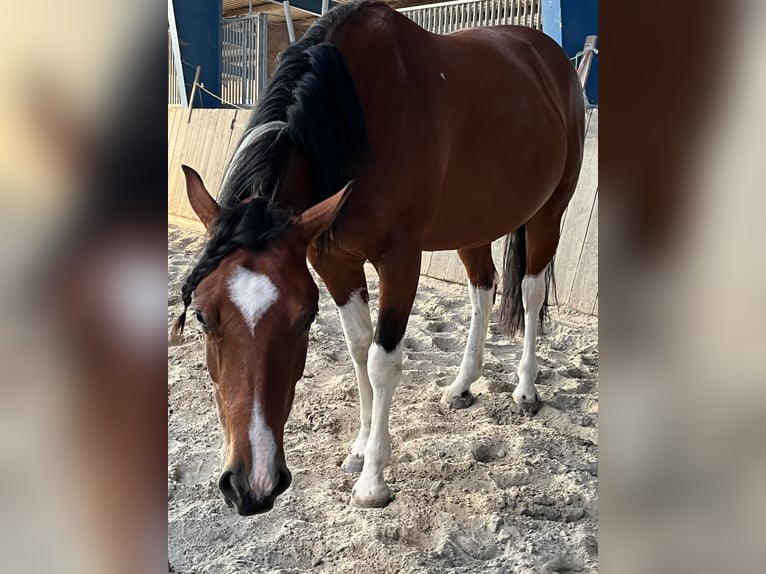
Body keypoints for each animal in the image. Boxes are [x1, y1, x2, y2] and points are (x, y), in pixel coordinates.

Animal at [171, 1, 584, 516]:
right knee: (483, 291)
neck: (353, 116)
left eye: (302, 319)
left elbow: (382, 360)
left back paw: (526, 389)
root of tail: (550, 56)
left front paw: (372, 480)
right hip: (472, 224)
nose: (252, 486)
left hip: (550, 213)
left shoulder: (400, 261)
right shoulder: (333, 261)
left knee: (528, 292)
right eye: (203, 317)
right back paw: (462, 385)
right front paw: (359, 448)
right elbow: (357, 349)